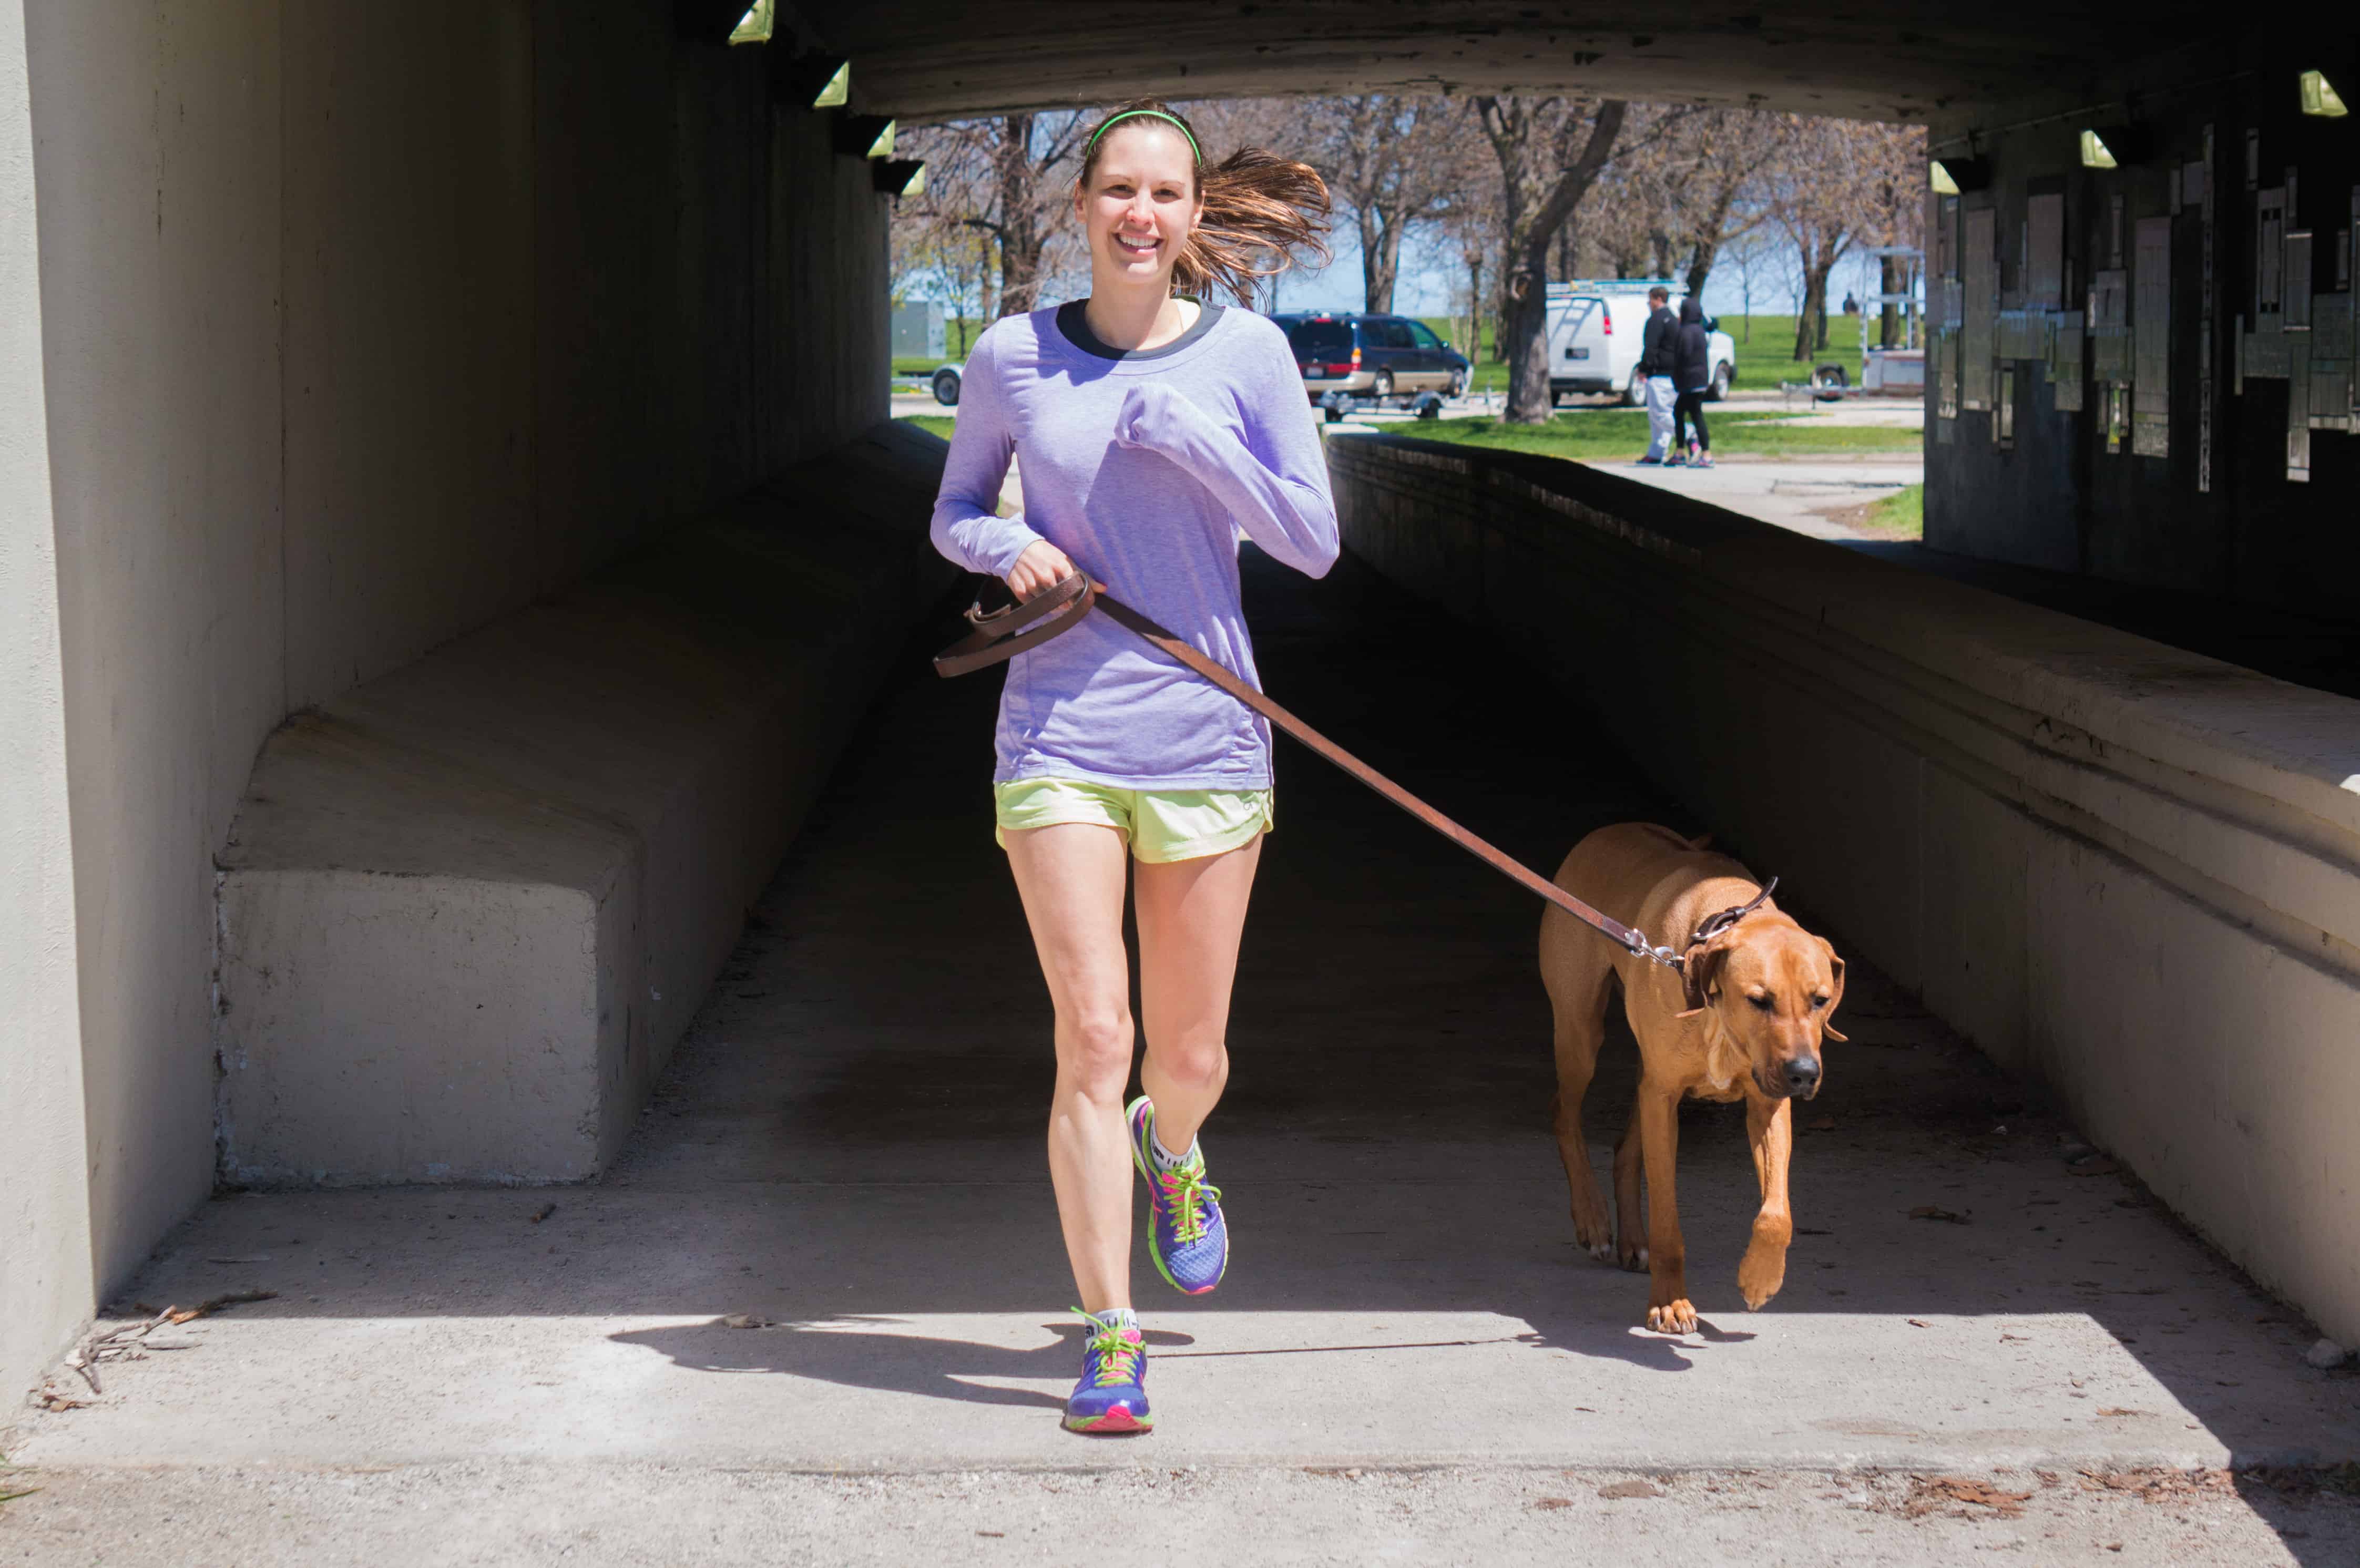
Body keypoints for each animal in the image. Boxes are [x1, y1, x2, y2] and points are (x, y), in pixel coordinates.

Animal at [1538, 821, 1850, 1329]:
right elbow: (1668, 1223)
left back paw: (1632, 1239)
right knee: (1563, 1111)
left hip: (1646, 1073)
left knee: (1625, 1147)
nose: (1804, 1074)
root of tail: (1605, 831)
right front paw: (1669, 1301)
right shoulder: (1665, 1098)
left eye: (1820, 999)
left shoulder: (1766, 1102)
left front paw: (1760, 1278)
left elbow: (1776, 1215)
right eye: (1759, 1000)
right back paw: (1592, 1218)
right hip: (1580, 1029)